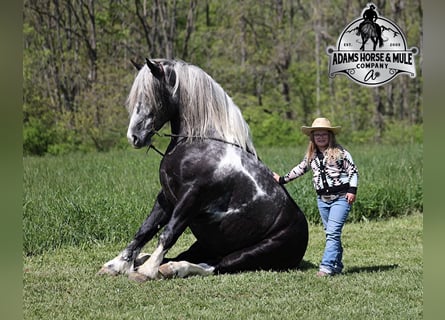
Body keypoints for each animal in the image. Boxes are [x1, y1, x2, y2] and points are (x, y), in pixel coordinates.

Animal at [97, 58, 306, 282]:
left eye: (152, 95)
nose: (134, 137)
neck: (200, 144)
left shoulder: (191, 198)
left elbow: (169, 232)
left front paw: (146, 271)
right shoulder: (167, 198)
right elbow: (145, 229)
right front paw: (116, 265)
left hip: (251, 253)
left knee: (214, 265)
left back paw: (169, 268)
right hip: (205, 243)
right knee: (191, 256)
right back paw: (150, 261)